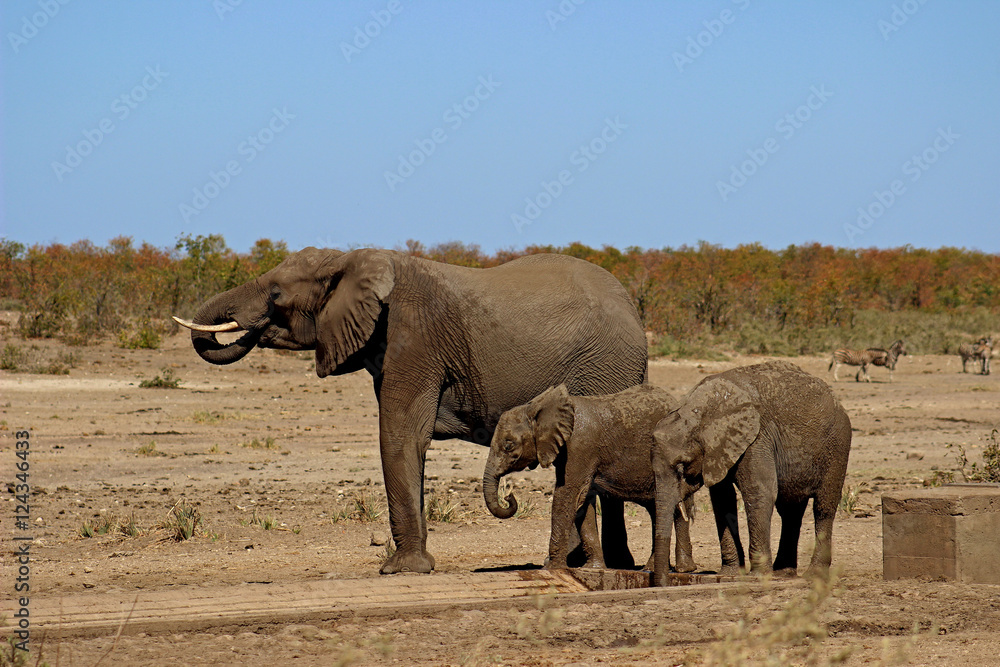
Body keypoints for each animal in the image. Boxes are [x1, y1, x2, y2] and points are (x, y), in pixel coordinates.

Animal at [174, 247, 648, 574]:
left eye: (276, 294)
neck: (349, 260)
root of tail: (632, 307)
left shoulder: (413, 339)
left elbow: (401, 436)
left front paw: (402, 571)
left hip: (608, 366)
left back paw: (610, 566)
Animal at [483, 383, 697, 573]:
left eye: (508, 445)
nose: (508, 496)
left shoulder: (580, 445)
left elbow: (567, 495)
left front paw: (550, 568)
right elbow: (583, 503)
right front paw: (593, 568)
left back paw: (681, 570)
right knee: (659, 509)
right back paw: (657, 569)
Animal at [650, 360, 851, 586]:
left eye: (682, 465)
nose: (665, 582)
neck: (698, 410)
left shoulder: (757, 438)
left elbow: (759, 493)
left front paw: (758, 576)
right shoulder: (718, 451)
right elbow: (723, 499)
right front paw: (729, 574)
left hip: (838, 444)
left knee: (823, 507)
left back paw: (814, 574)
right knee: (790, 510)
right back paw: (783, 573)